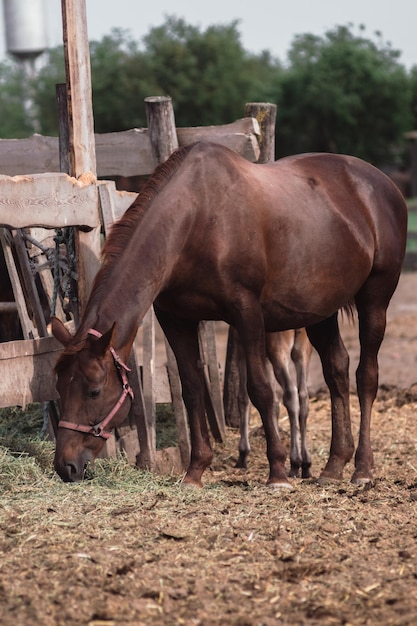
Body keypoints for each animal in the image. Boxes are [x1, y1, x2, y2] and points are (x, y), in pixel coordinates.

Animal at [236, 326, 310, 472]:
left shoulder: (242, 349)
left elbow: (243, 397)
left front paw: (243, 454)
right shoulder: (263, 357)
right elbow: (273, 402)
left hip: (279, 353)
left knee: (291, 393)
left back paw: (295, 461)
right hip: (302, 351)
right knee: (303, 395)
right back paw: (306, 464)